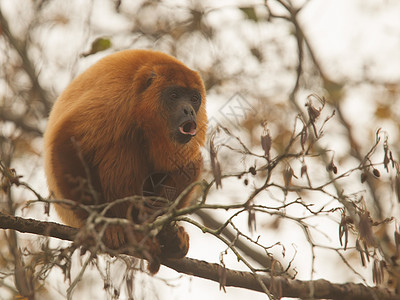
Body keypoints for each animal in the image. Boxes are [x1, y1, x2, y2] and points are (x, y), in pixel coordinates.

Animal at [43, 49, 208, 272]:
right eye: (174, 95)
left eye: (194, 98)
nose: (189, 110)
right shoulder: (114, 96)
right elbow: (67, 142)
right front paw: (101, 227)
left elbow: (187, 164)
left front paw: (167, 233)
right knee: (125, 144)